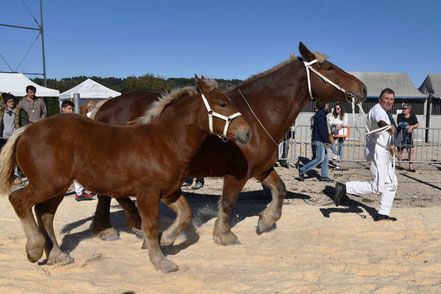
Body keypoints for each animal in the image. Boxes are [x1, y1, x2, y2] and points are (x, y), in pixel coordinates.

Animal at [0, 76, 251, 274]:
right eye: (222, 104)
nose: (247, 133)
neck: (164, 142)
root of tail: (26, 130)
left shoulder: (169, 191)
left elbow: (185, 215)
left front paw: (166, 240)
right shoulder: (148, 193)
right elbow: (151, 225)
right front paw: (161, 261)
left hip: (58, 187)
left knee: (45, 214)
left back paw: (57, 255)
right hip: (47, 184)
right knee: (19, 200)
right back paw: (35, 248)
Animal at [90, 42, 368, 246]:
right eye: (328, 68)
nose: (363, 88)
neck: (258, 113)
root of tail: (104, 106)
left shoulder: (261, 169)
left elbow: (279, 190)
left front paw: (266, 221)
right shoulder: (238, 173)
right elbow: (227, 202)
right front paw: (224, 235)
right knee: (111, 195)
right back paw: (118, 226)